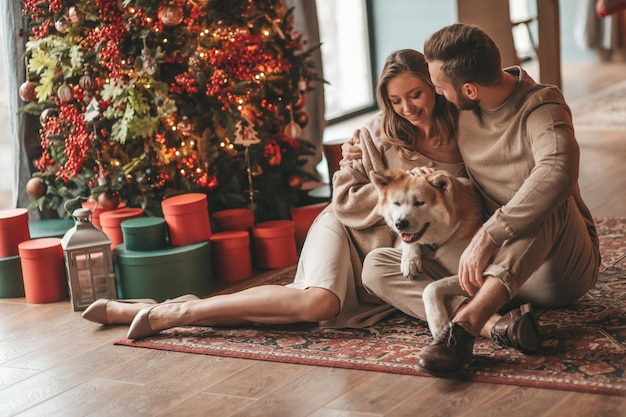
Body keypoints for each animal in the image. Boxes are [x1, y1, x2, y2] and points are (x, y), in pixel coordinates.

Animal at [370, 169, 482, 338]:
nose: (400, 224)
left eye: (419, 203)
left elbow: (430, 287)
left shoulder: (472, 276)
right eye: (396, 203)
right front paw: (410, 260)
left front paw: (438, 322)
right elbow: (408, 244)